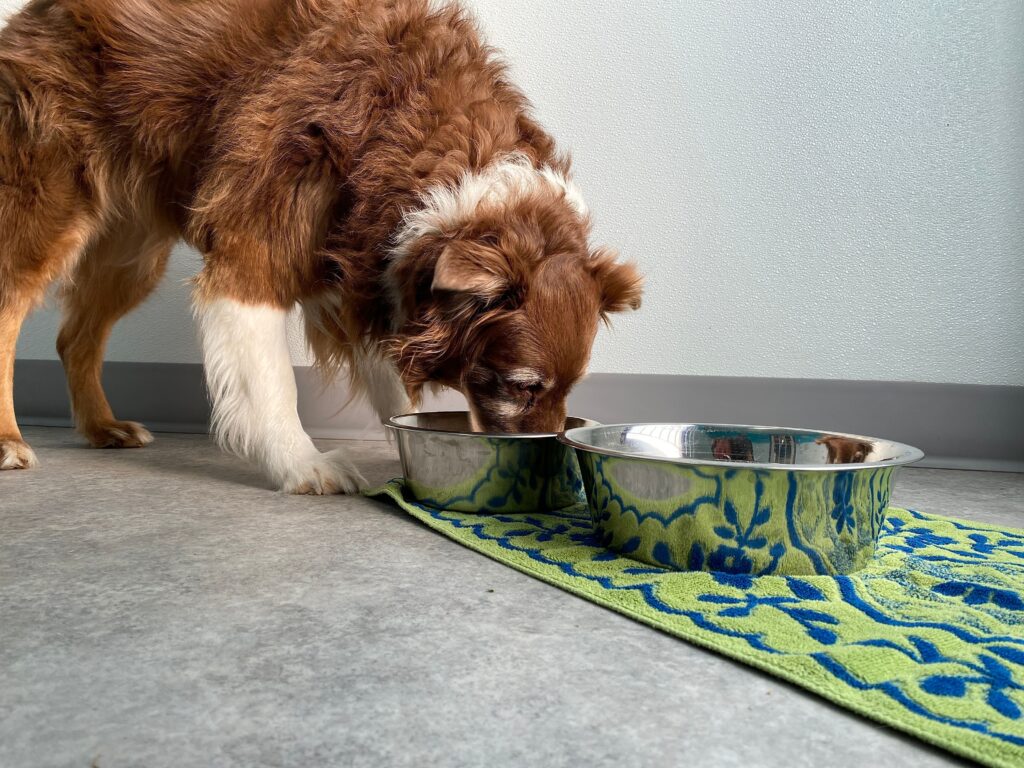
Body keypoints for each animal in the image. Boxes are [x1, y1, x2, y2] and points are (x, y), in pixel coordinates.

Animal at [0, 0, 638, 493]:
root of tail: (36, 13)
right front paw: (304, 464)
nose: (551, 460)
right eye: (523, 385)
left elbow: (395, 382)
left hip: (133, 251)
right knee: (11, 310)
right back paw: (9, 442)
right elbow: (273, 381)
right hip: (47, 208)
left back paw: (102, 428)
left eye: (571, 387)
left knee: (73, 337)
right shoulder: (252, 247)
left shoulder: (360, 267)